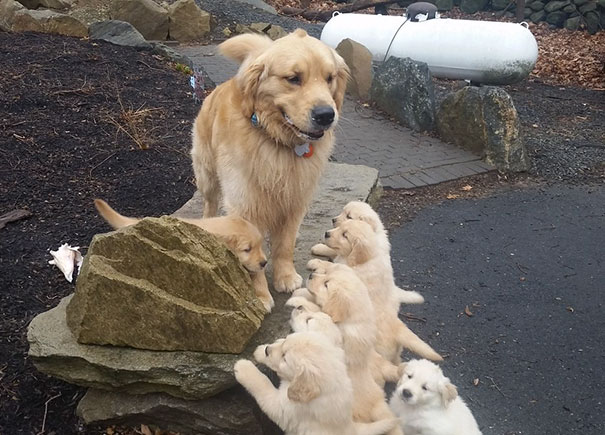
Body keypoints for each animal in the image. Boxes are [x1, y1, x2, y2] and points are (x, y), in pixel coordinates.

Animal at [189, 29, 350, 292]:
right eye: (293, 78)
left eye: (329, 78)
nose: (326, 115)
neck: (278, 143)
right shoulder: (245, 203)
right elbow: (253, 252)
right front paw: (260, 291)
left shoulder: (295, 201)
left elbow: (284, 244)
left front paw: (285, 275)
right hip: (207, 175)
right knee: (209, 204)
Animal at [320, 223, 438, 362]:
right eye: (339, 227)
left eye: (345, 235)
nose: (326, 233)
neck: (365, 260)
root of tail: (397, 328)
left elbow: (329, 266)